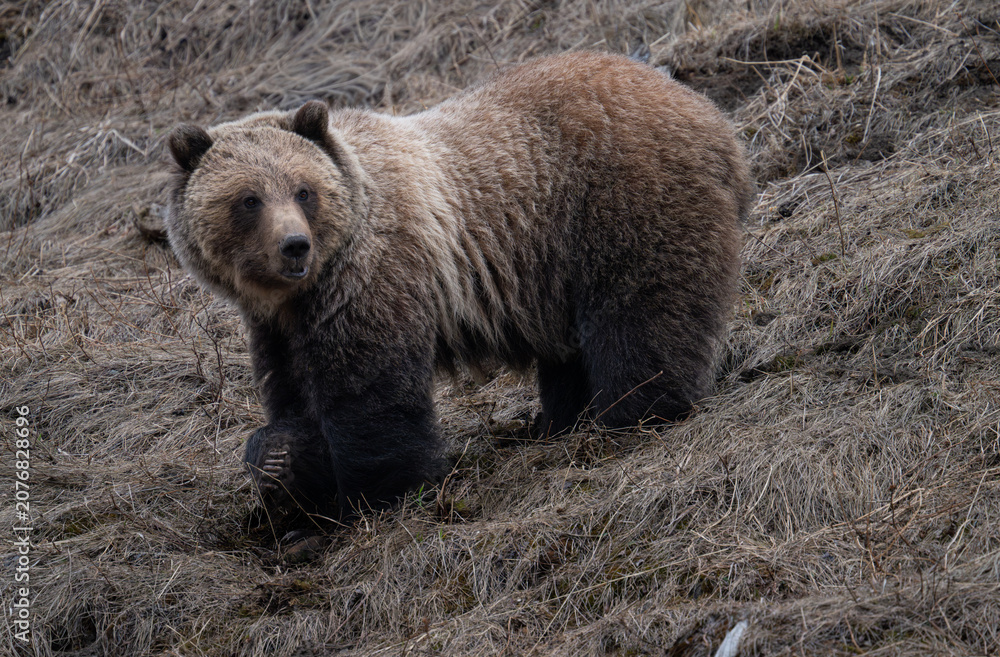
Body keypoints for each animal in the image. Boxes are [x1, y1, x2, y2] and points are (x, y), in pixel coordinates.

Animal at [165, 51, 753, 521]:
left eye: (303, 190)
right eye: (248, 198)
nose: (294, 246)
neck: (308, 290)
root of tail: (712, 116)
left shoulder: (374, 278)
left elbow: (371, 397)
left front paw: (376, 496)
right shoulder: (281, 326)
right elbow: (295, 398)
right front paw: (280, 461)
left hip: (620, 204)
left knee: (642, 317)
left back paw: (633, 413)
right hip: (558, 264)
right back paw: (560, 420)